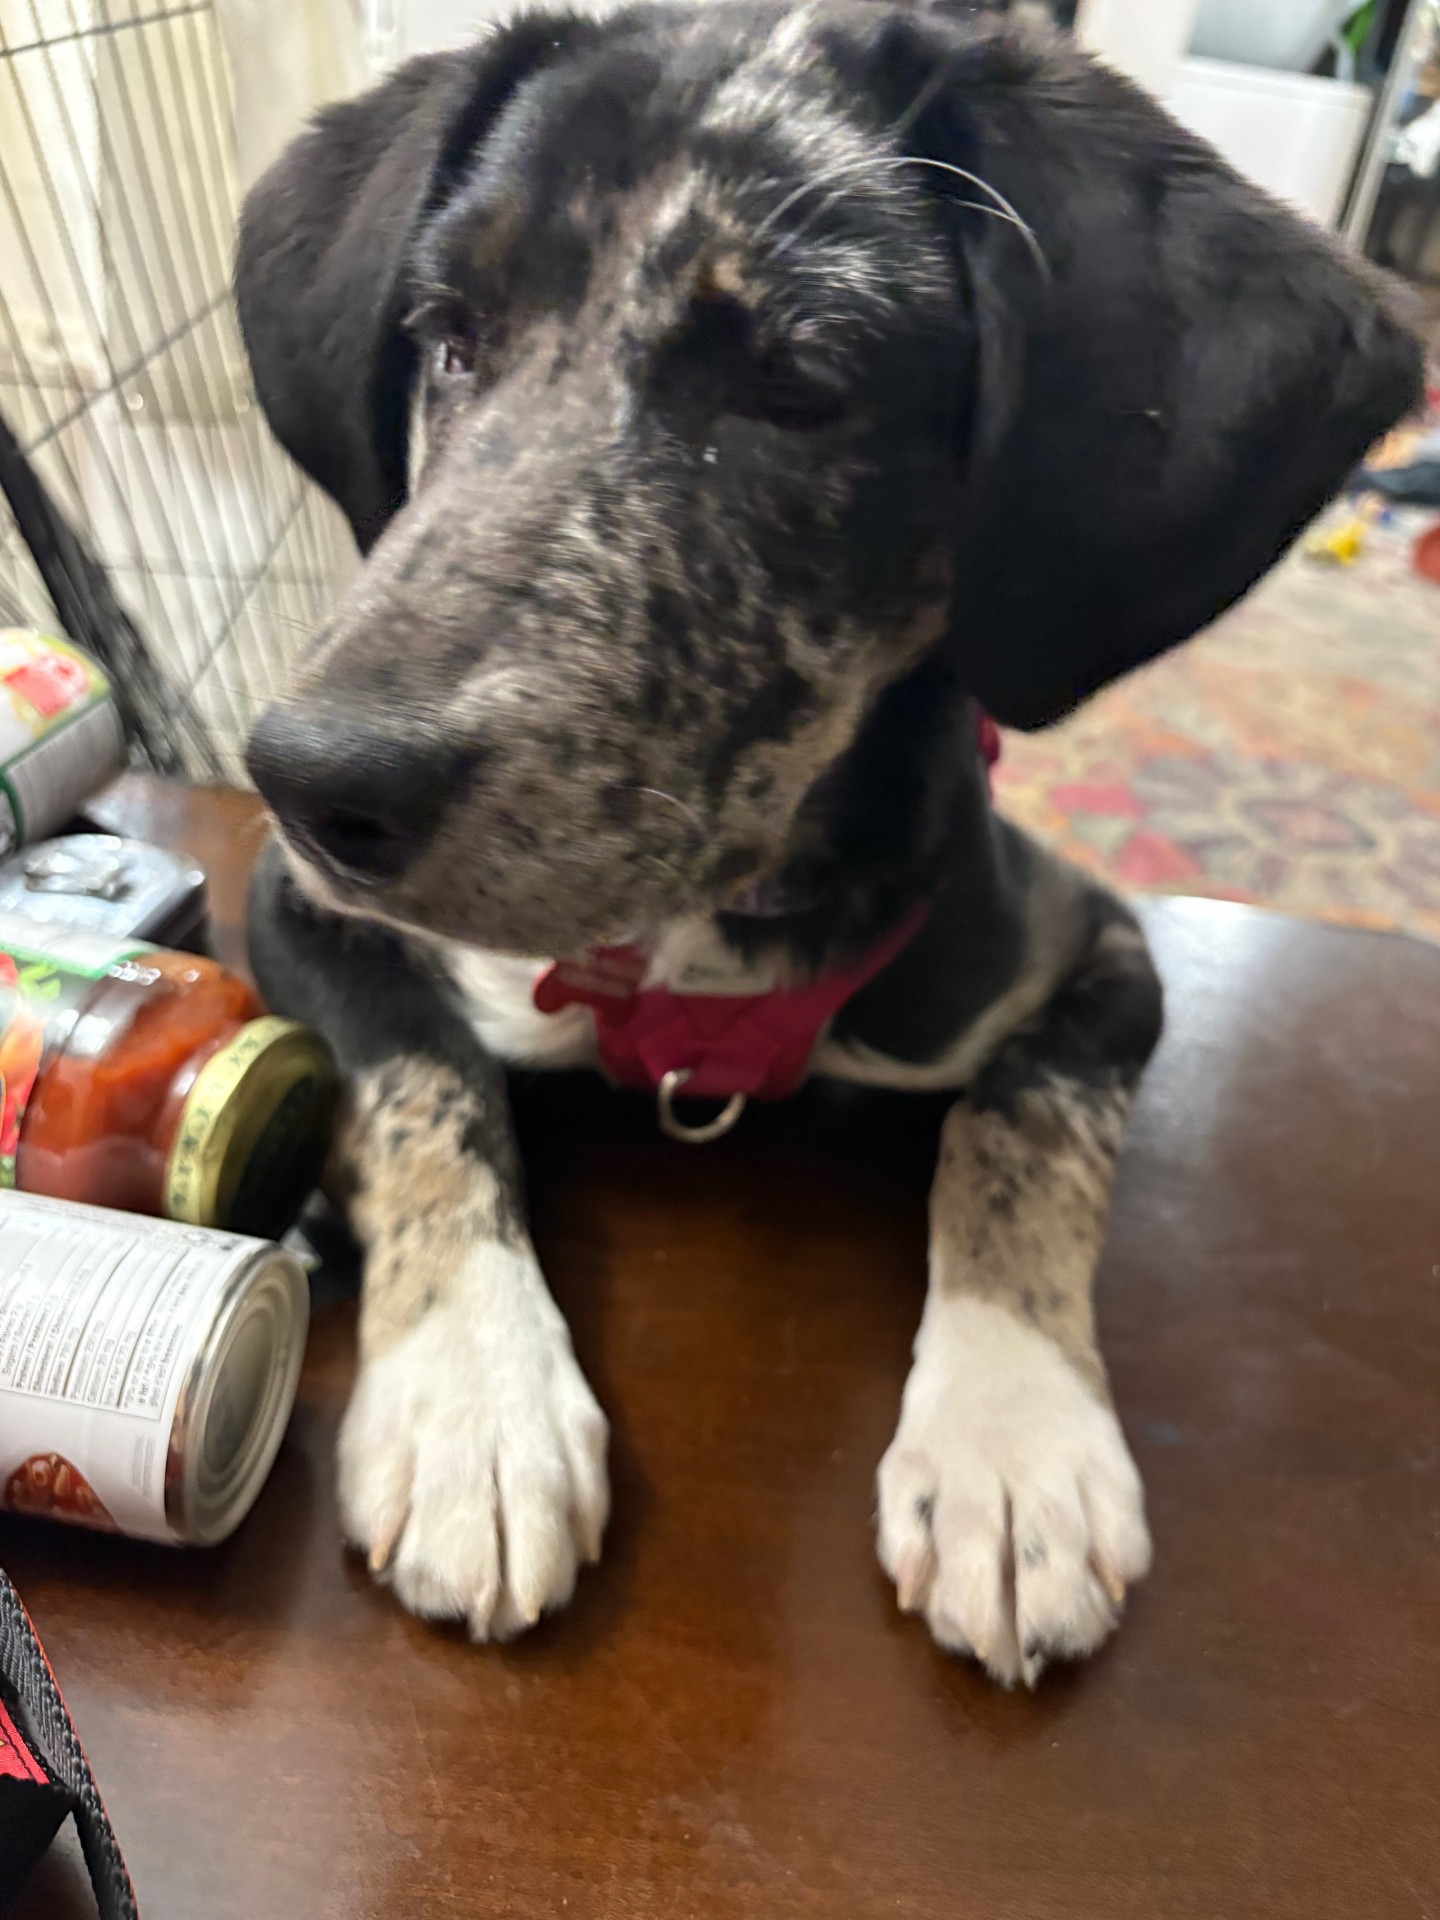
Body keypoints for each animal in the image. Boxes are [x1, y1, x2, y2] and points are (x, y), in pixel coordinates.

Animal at [236, 0, 1421, 1685]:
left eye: (798, 386)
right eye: (449, 335)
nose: (316, 776)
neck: (702, 954)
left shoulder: (1100, 955)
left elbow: (1020, 1134)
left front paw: (1015, 1440)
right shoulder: (303, 912)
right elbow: (421, 1082)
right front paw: (473, 1398)